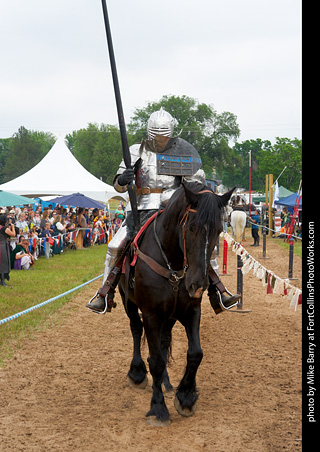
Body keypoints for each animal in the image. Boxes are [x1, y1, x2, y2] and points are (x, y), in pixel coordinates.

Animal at [119, 179, 234, 424]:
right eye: (191, 228)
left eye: (219, 230)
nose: (197, 284)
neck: (173, 262)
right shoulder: (151, 315)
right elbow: (155, 360)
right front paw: (158, 407)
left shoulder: (190, 311)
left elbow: (195, 353)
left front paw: (186, 397)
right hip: (129, 303)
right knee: (136, 329)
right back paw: (137, 372)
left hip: (169, 316)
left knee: (163, 342)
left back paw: (165, 382)